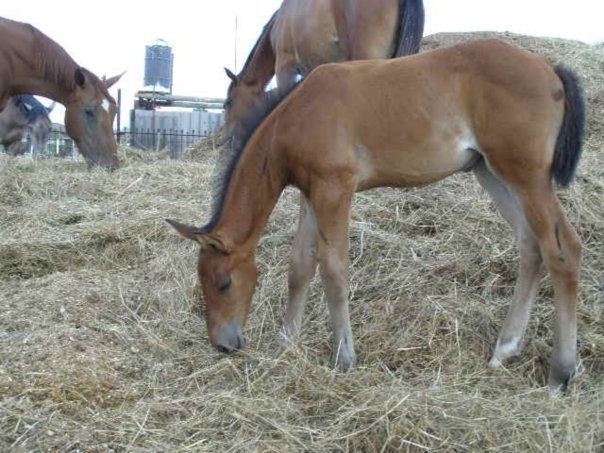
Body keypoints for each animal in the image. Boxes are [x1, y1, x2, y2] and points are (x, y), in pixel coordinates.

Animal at [168, 38, 584, 392]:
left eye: (223, 283)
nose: (223, 344)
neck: (297, 115)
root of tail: (549, 68)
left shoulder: (335, 189)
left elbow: (333, 270)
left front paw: (345, 357)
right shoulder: (311, 194)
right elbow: (299, 266)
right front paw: (286, 344)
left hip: (526, 176)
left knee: (562, 249)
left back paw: (560, 374)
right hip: (491, 172)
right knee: (530, 246)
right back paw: (504, 349)